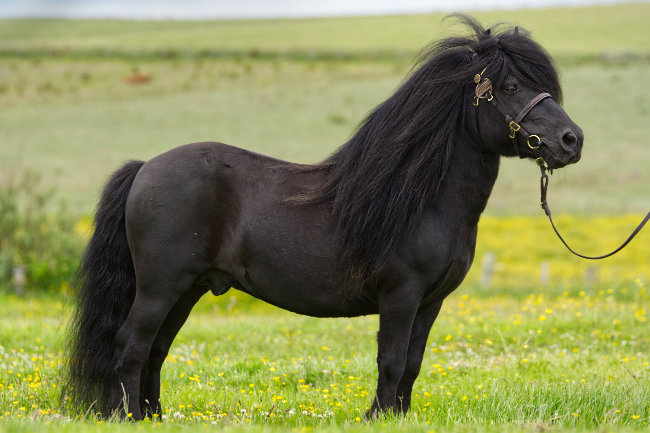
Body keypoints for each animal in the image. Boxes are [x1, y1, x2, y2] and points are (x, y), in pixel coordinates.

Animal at [63, 16, 583, 420]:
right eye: (512, 86)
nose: (571, 140)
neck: (423, 199)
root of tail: (146, 167)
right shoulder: (401, 295)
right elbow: (392, 360)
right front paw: (378, 417)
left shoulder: (430, 302)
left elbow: (413, 363)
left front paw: (398, 416)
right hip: (160, 286)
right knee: (132, 346)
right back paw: (129, 417)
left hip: (187, 288)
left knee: (155, 350)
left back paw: (153, 416)